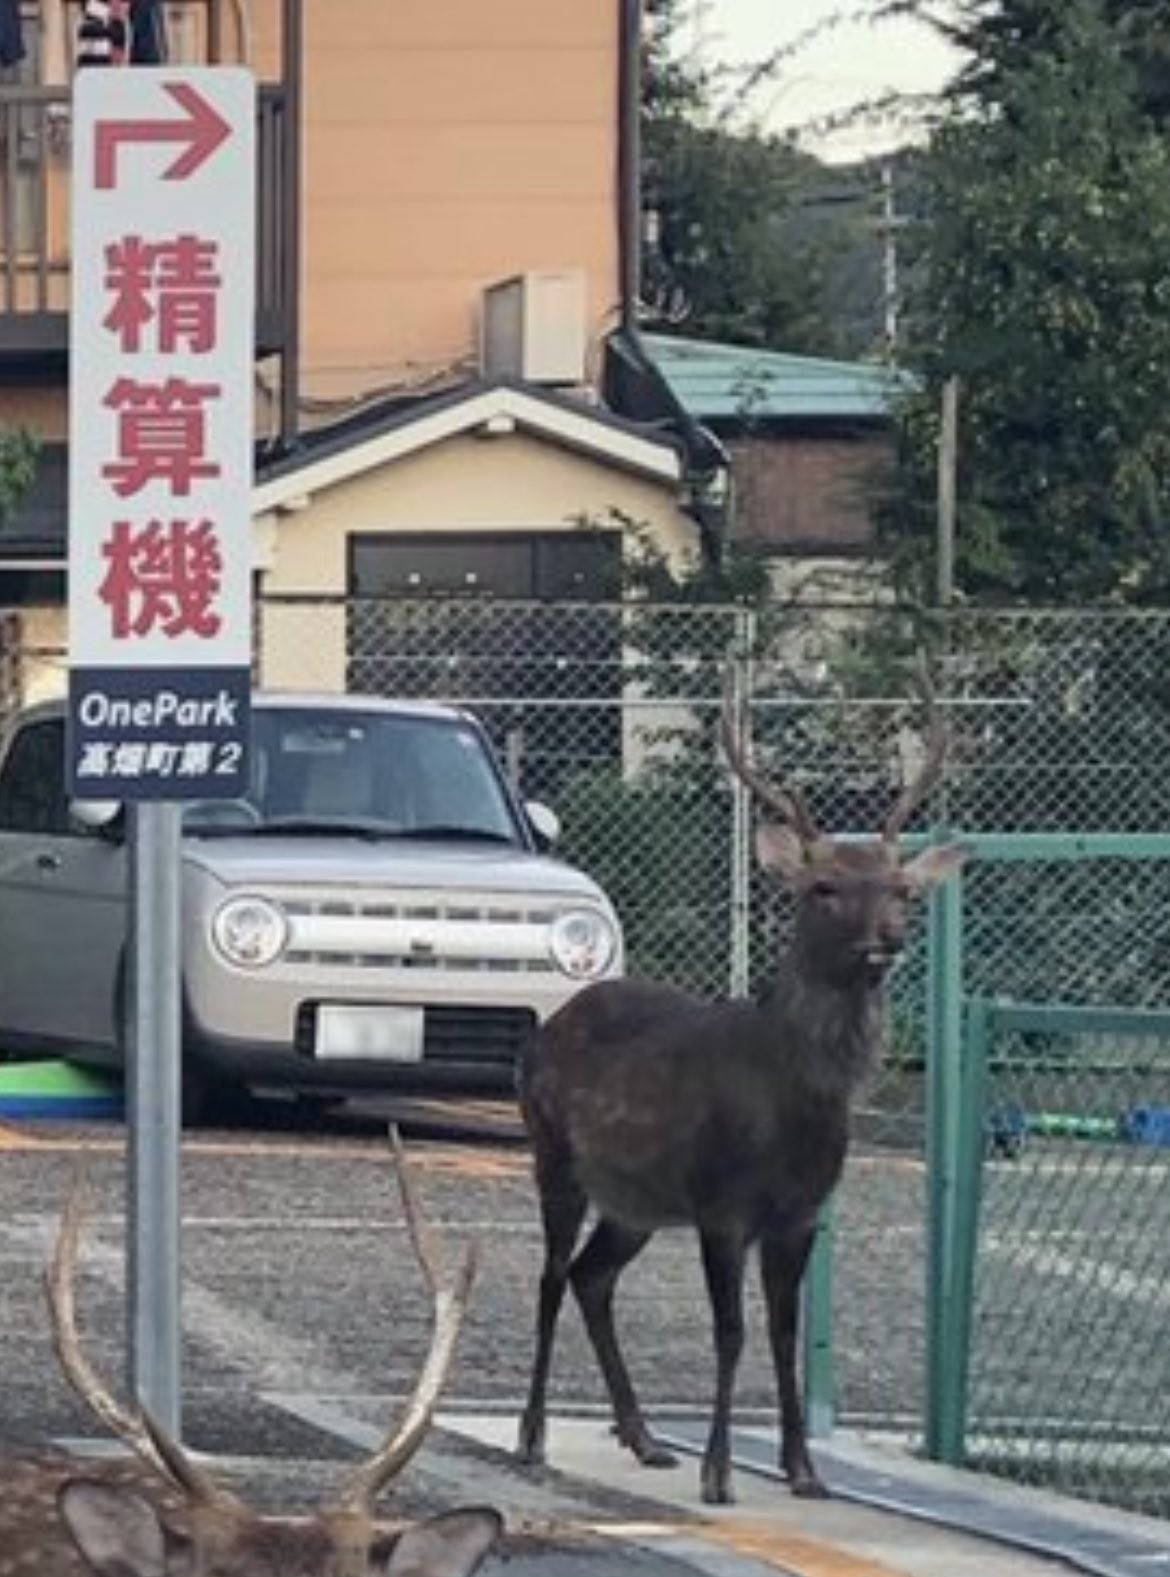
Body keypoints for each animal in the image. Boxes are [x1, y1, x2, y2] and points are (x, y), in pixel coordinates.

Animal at [517, 665, 965, 1501]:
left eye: (900, 887)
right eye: (823, 886)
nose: (886, 939)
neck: (793, 1105)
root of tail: (549, 1025)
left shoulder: (801, 1213)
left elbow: (784, 1333)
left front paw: (804, 1469)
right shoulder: (723, 1202)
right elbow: (731, 1332)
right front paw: (720, 1473)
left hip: (638, 1199)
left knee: (594, 1277)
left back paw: (644, 1437)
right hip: (552, 1150)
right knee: (553, 1276)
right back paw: (533, 1438)